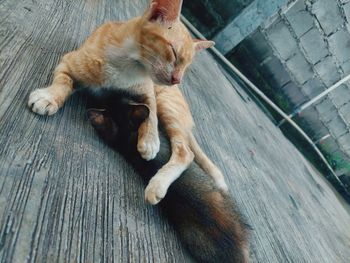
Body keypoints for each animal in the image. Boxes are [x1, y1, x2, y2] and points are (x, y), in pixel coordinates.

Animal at [28, 0, 228, 205]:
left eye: (187, 66)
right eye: (173, 52)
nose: (177, 80)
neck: (129, 64)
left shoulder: (149, 91)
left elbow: (151, 112)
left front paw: (150, 140)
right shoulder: (68, 62)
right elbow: (63, 82)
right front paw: (49, 96)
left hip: (167, 105)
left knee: (186, 153)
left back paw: (157, 185)